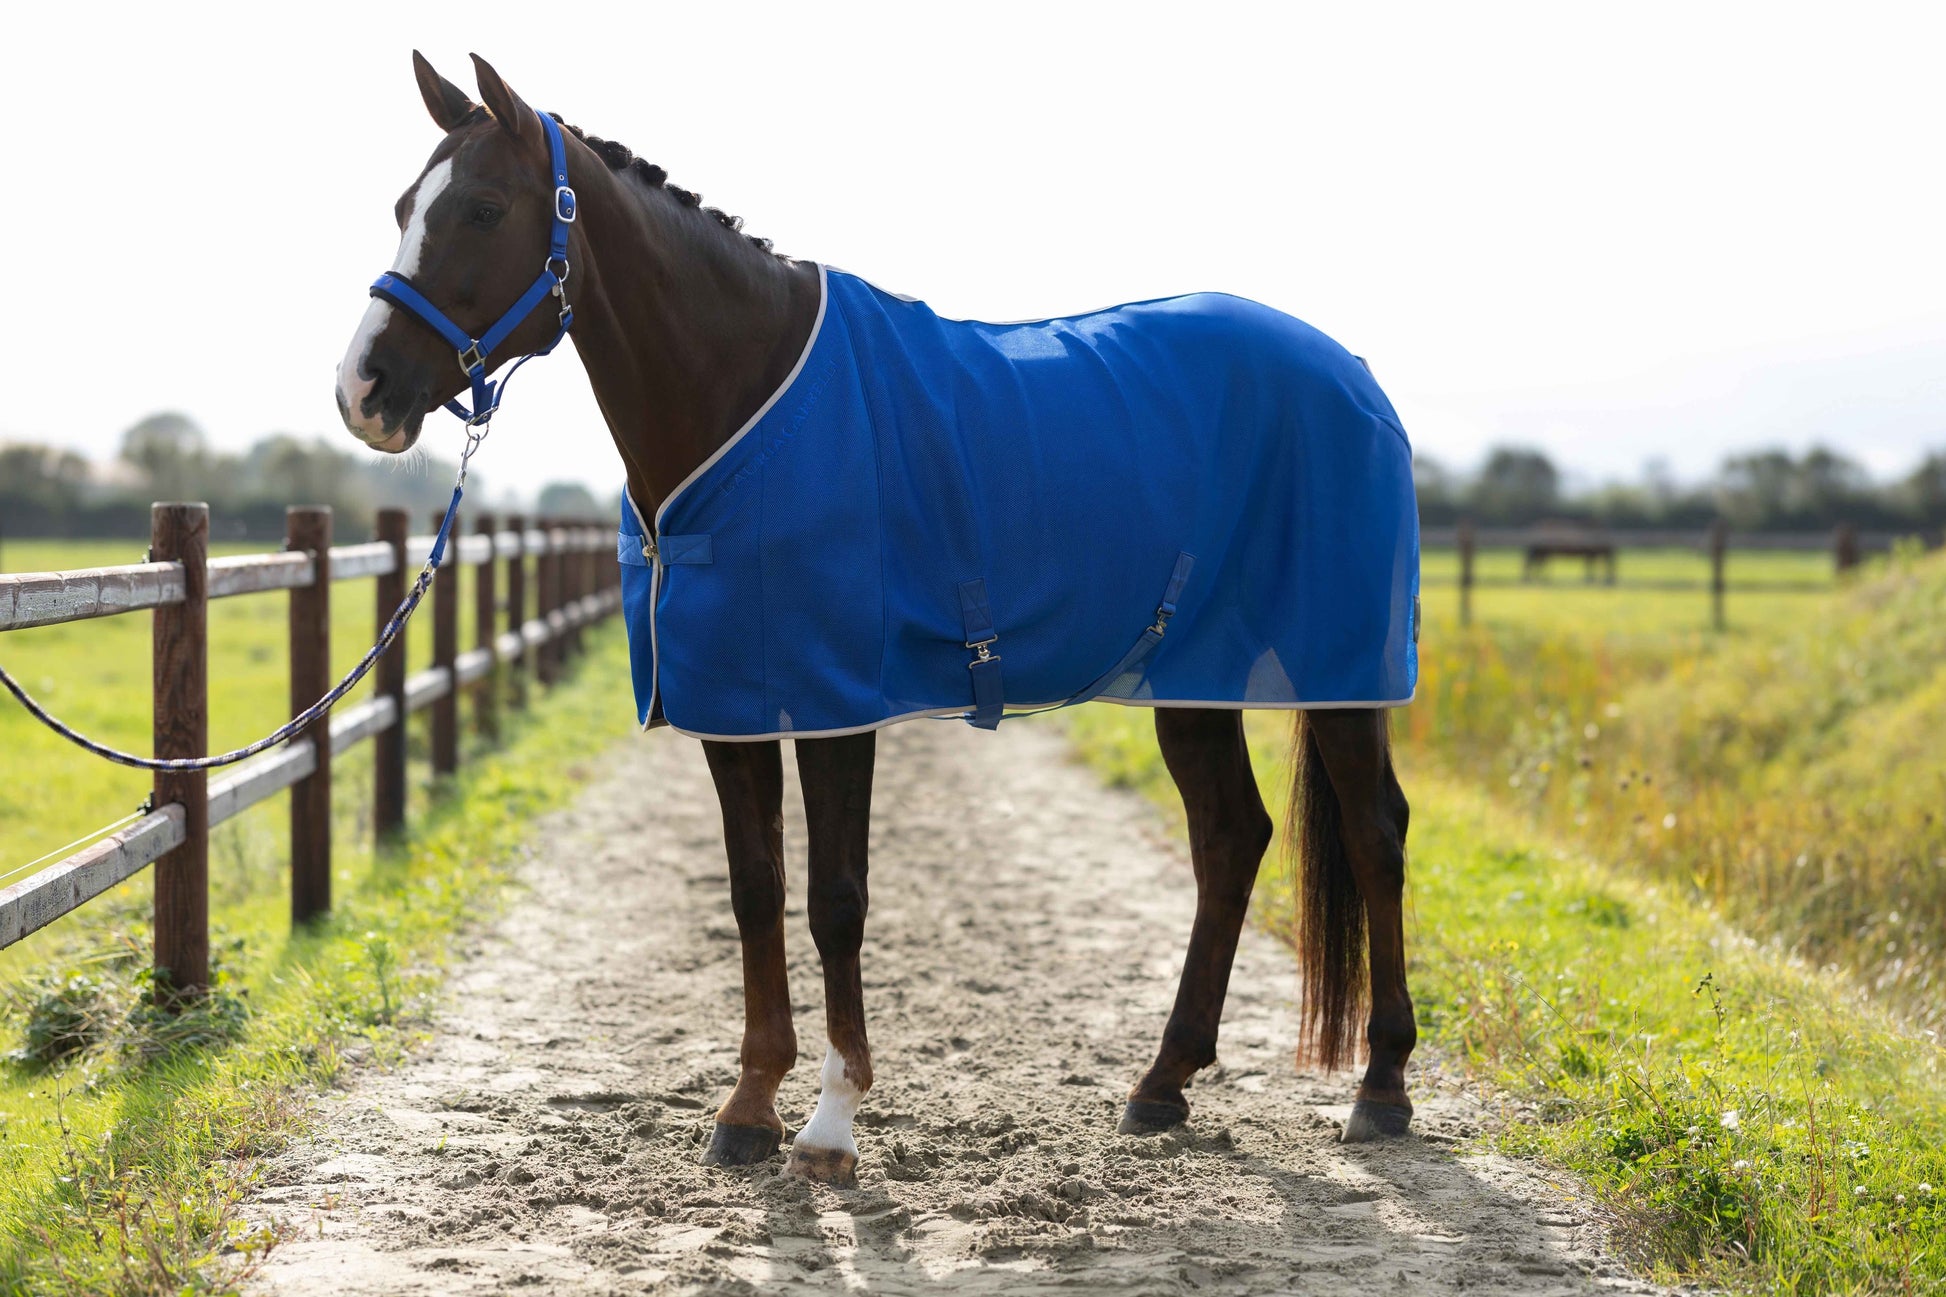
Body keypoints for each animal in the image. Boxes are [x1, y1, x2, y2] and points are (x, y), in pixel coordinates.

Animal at [336, 52, 1418, 1187]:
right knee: (1229, 838)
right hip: (1190, 678)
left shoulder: (834, 702)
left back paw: (1381, 1088)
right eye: (405, 205)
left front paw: (830, 1123)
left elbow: (835, 900)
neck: (741, 399)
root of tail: (1352, 373)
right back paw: (1160, 1085)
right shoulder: (731, 703)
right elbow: (755, 890)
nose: (363, 387)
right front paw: (749, 1108)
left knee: (1373, 832)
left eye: (483, 208)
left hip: (1340, 673)